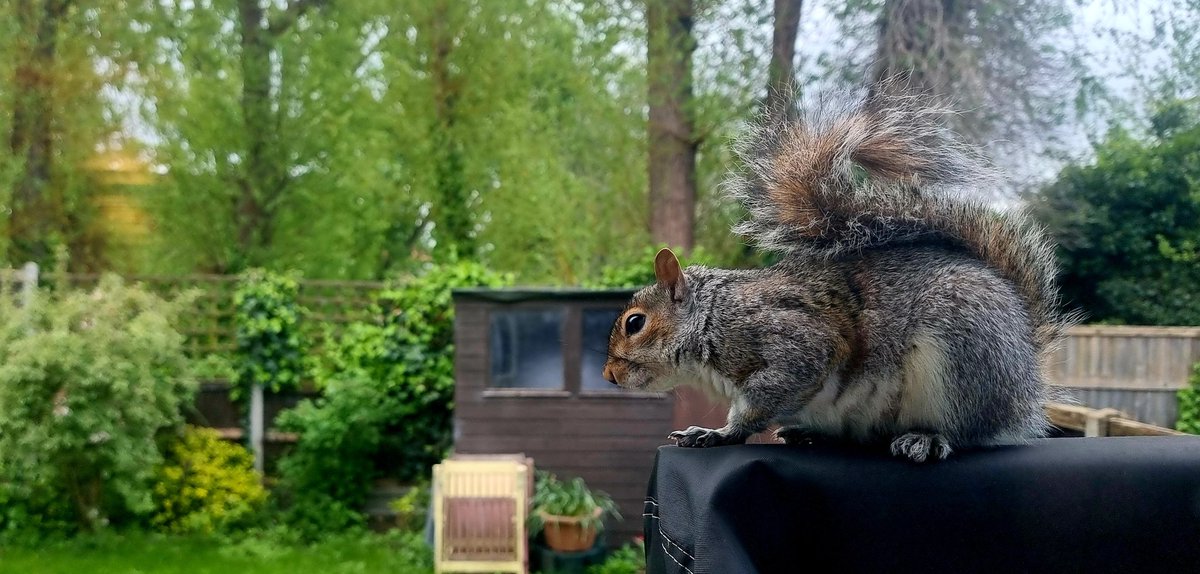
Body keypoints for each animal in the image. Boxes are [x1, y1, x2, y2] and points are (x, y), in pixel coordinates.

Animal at [597, 88, 1070, 461]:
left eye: (635, 323)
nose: (608, 376)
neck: (711, 315)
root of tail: (1027, 372)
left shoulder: (789, 341)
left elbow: (762, 399)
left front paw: (716, 434)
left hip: (964, 353)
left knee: (972, 430)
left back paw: (927, 438)